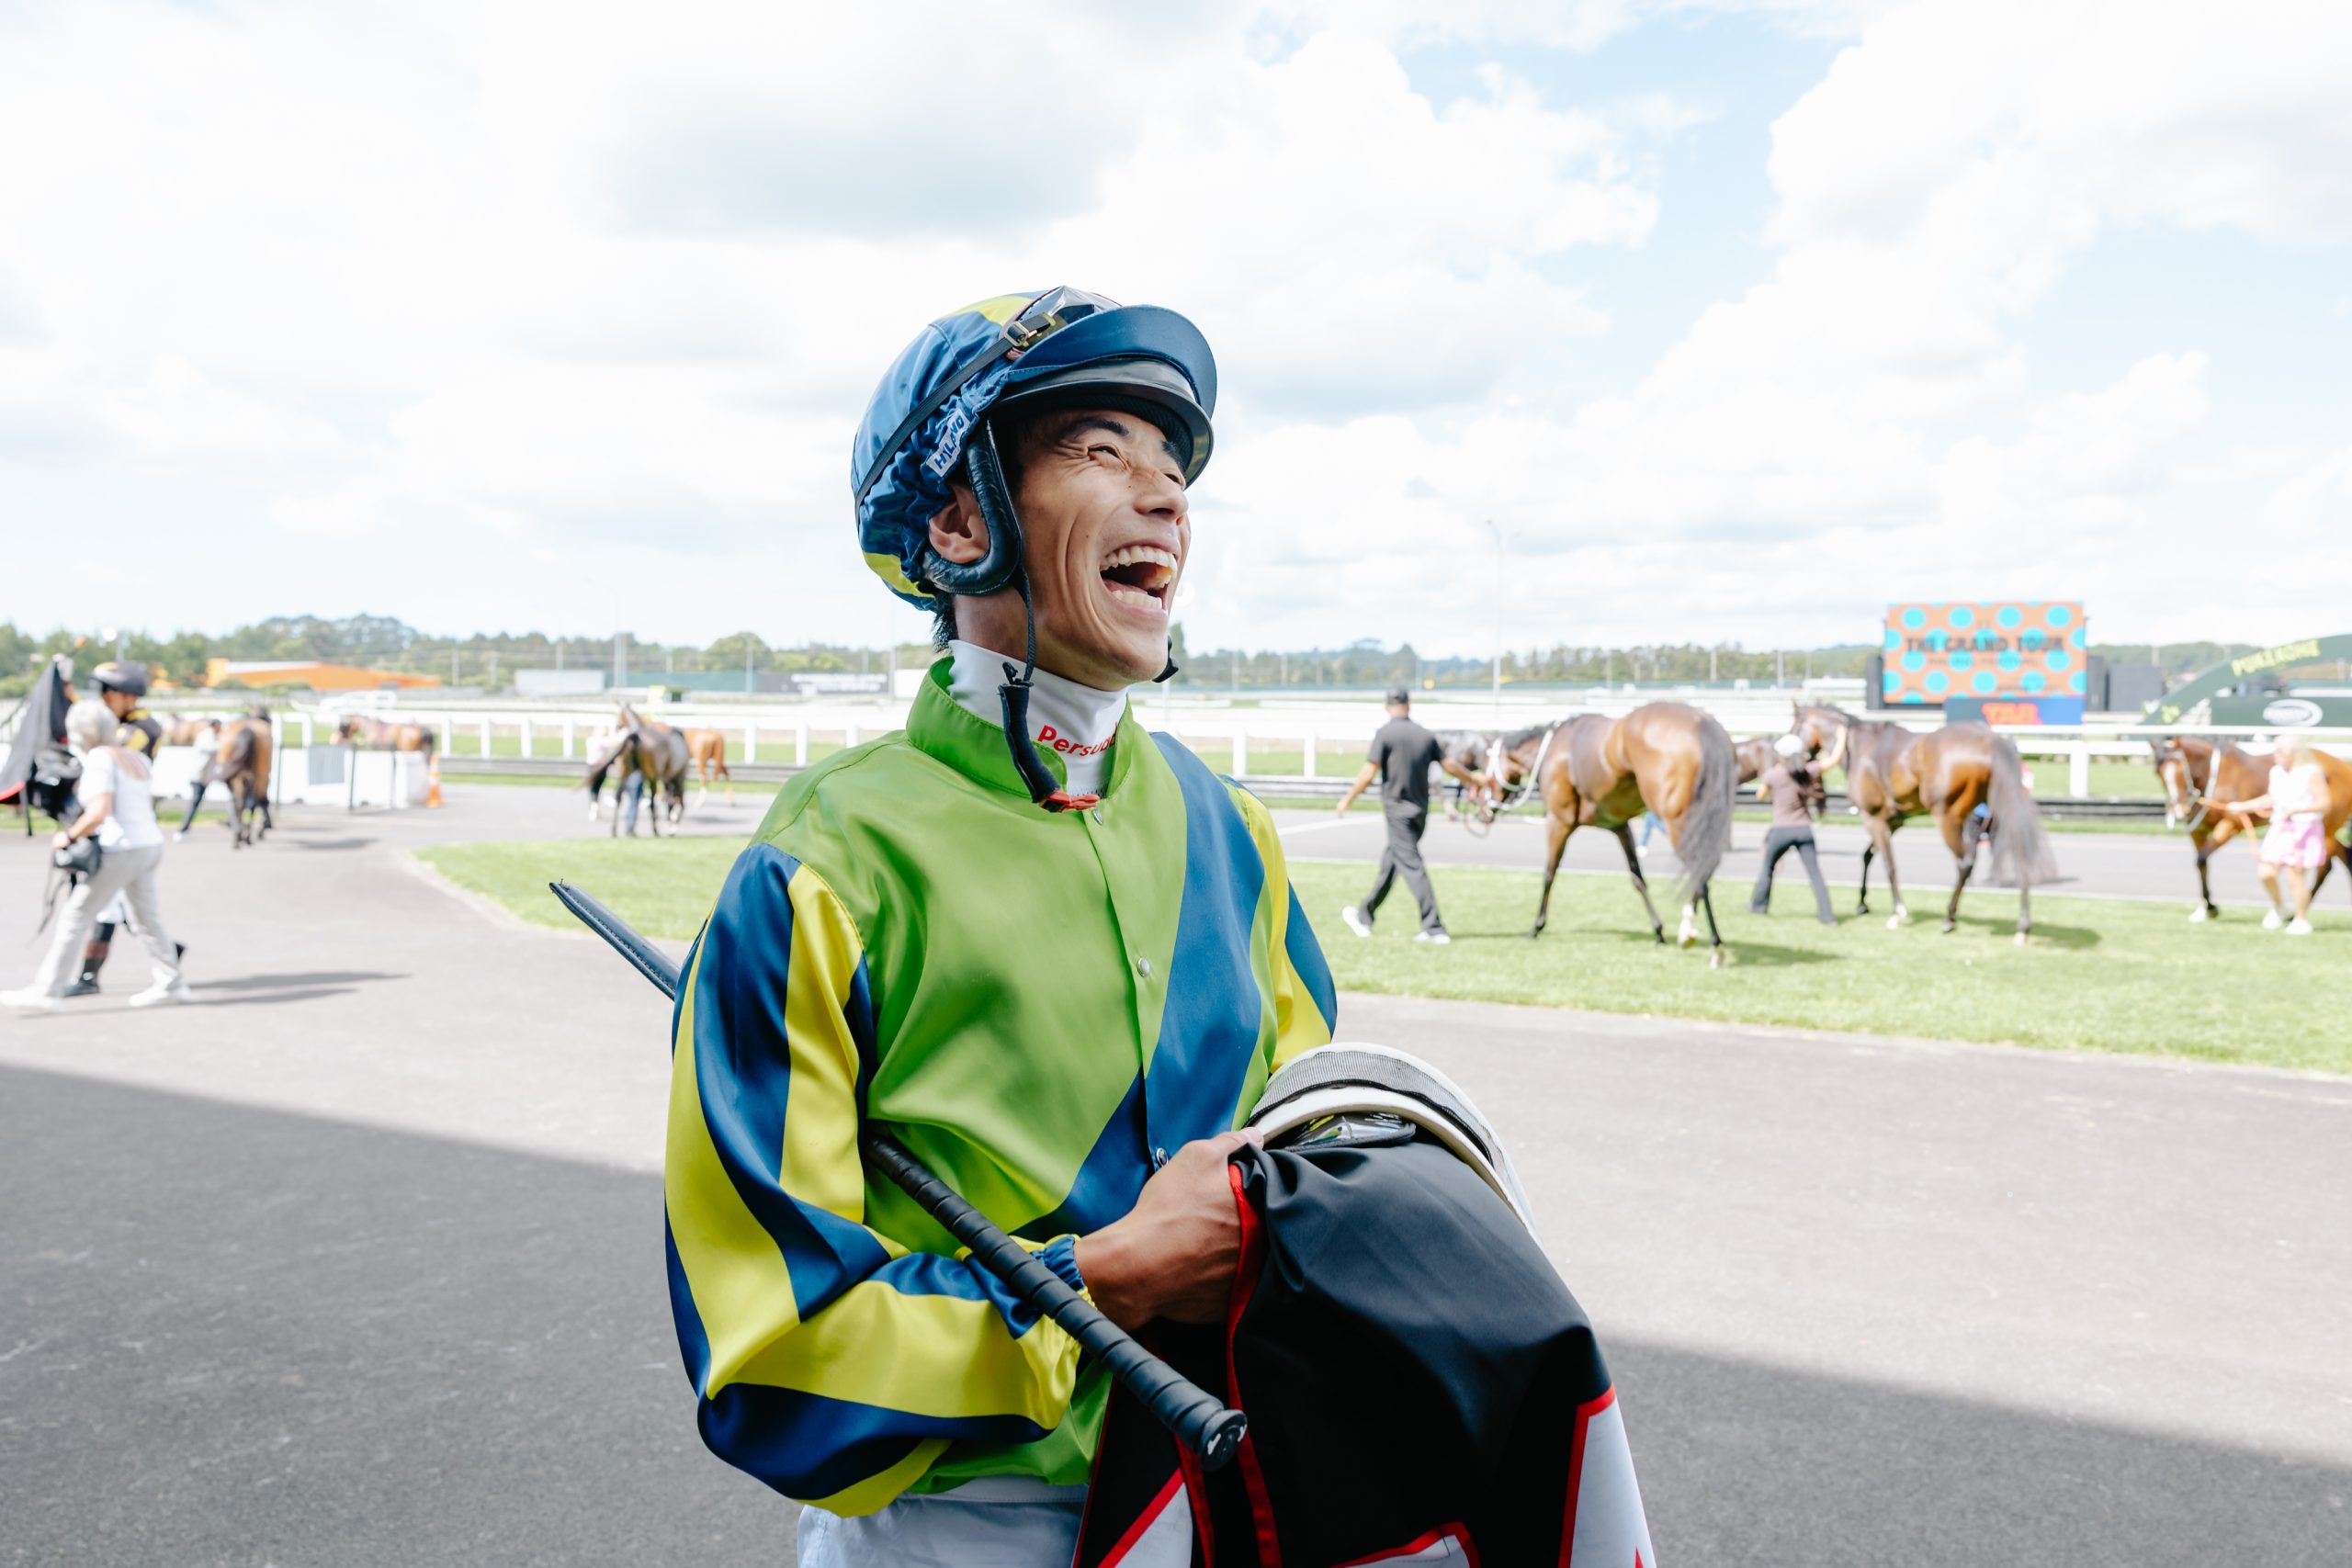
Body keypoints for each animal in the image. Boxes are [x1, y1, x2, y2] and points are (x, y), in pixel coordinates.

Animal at [1486, 702, 1738, 964]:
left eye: (1487, 771)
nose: (1488, 809)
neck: (1553, 747)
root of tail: (1703, 724)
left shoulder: (1559, 821)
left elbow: (1549, 874)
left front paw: (1536, 927)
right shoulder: (1620, 827)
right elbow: (1638, 878)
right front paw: (1658, 931)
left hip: (1679, 821)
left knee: (1700, 869)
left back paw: (1706, 939)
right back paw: (1688, 930)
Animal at [1789, 705, 2057, 941]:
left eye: (1795, 727)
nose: (1794, 762)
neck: (1860, 747)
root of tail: (1990, 739)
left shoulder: (1873, 817)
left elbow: (1888, 864)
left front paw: (1897, 912)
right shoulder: (1893, 821)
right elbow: (1868, 856)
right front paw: (1862, 904)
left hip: (1948, 816)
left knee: (1965, 863)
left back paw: (1949, 919)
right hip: (2000, 807)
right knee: (2020, 855)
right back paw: (2023, 925)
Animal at [2151, 736, 2352, 920]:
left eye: (2181, 769)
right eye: (2158, 772)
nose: (2179, 810)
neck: (2216, 778)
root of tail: (2344, 767)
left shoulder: (2230, 825)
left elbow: (2202, 859)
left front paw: (2211, 907)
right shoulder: (2198, 831)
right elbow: (2201, 864)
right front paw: (2204, 908)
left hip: (2324, 827)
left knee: (2324, 867)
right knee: (2343, 854)